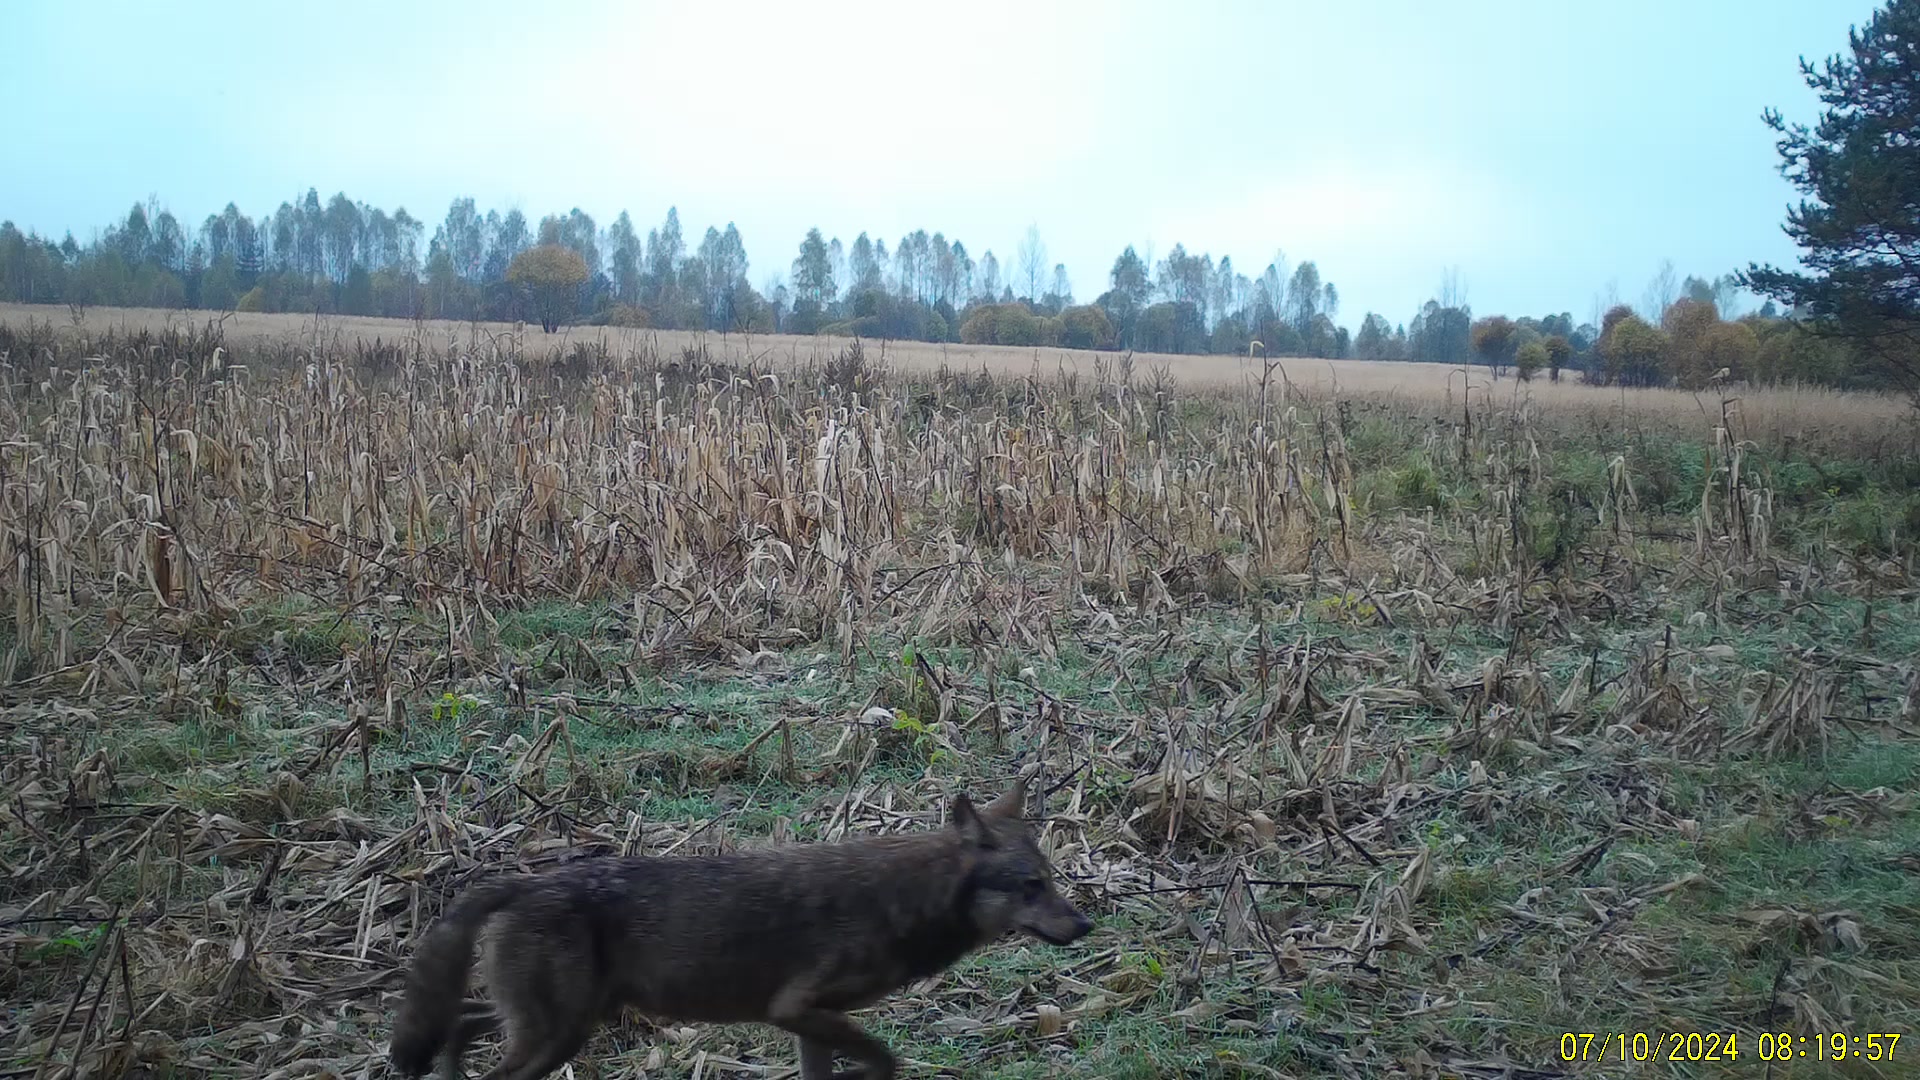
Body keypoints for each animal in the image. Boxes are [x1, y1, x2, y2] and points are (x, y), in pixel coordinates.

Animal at [388, 776, 1093, 1079]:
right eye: (1031, 886)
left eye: (1051, 879)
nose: (1085, 923)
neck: (908, 898)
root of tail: (524, 881)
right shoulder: (798, 1009)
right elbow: (885, 1062)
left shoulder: (811, 1020)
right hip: (559, 1033)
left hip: (559, 1022)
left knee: (460, 1023)